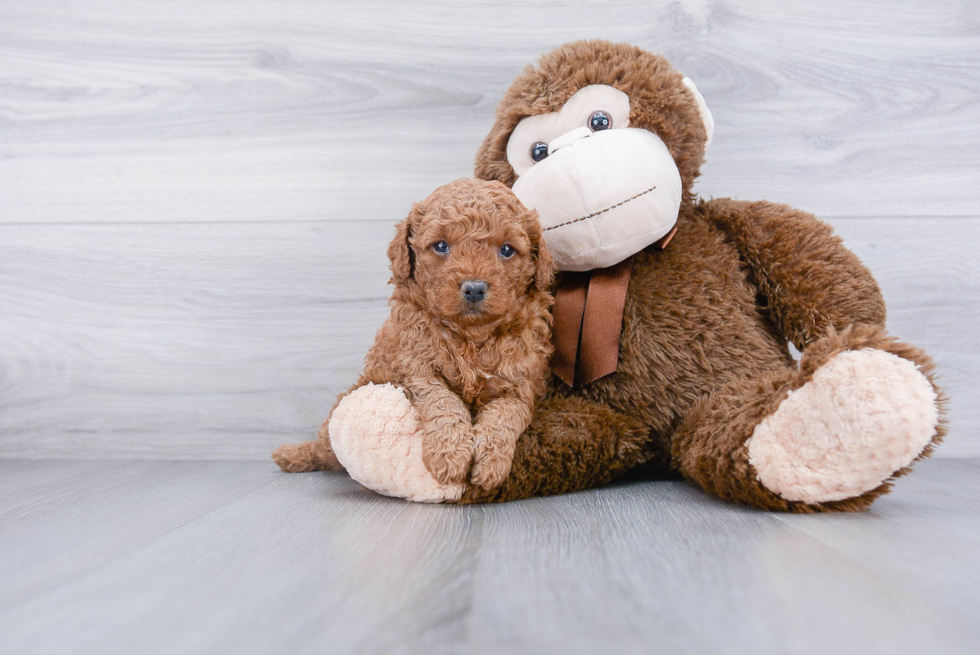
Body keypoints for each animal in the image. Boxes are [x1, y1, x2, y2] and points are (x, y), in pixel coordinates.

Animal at [272, 179, 556, 492]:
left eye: (507, 250)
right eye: (441, 246)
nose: (474, 288)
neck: (470, 335)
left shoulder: (520, 383)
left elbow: (504, 417)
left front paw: (490, 465)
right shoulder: (418, 368)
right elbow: (444, 403)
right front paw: (450, 457)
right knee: (324, 449)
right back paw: (293, 455)